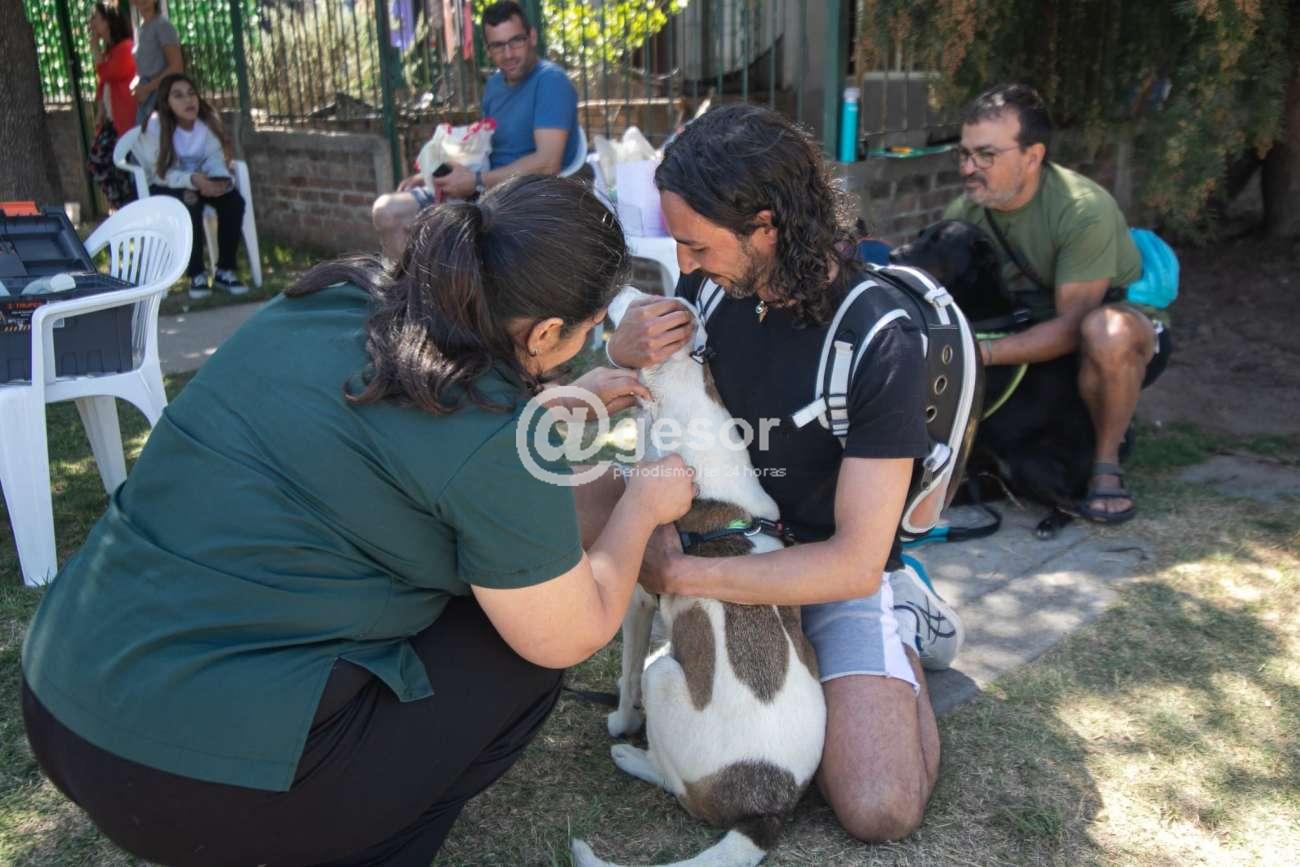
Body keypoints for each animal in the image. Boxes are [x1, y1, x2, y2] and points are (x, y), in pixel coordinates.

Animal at [571, 289, 826, 867]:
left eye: (641, 301)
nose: (616, 290)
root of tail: (766, 812)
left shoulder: (637, 600)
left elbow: (625, 674)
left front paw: (621, 720)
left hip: (663, 673)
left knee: (671, 778)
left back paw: (632, 756)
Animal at [890, 220, 1094, 535]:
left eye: (938, 242)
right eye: (921, 234)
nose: (893, 254)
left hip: (1028, 459)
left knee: (1073, 505)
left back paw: (1051, 521)